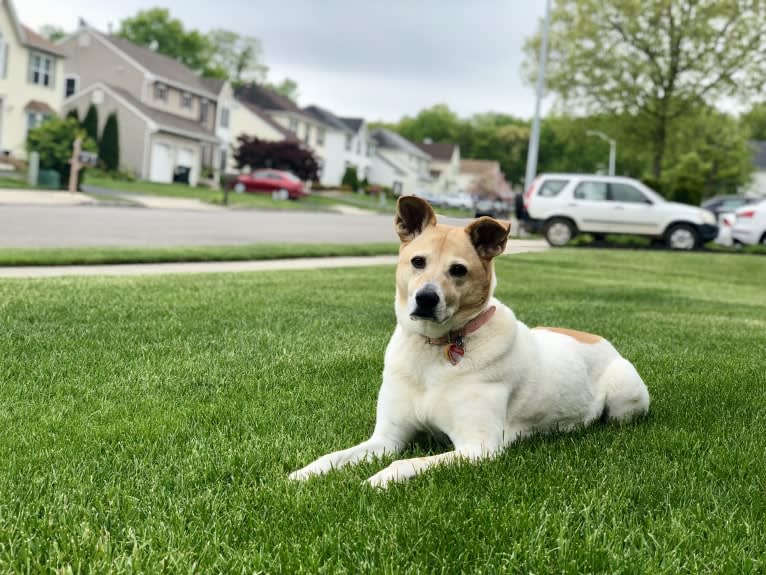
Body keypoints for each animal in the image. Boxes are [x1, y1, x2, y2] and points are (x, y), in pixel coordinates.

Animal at [292, 196, 652, 488]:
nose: (426, 299)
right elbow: (336, 457)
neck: (434, 350)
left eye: (458, 270)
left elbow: (404, 462)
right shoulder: (386, 438)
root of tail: (598, 338)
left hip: (624, 396)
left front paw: (376, 480)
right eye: (418, 261)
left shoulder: (477, 447)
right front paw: (304, 474)